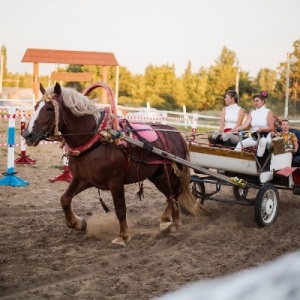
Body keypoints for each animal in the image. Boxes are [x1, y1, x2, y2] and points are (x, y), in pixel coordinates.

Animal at [22, 82, 207, 246]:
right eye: (36, 106)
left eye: (49, 108)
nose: (27, 135)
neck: (96, 139)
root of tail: (176, 133)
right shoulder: (83, 179)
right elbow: (65, 199)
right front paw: (78, 223)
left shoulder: (115, 182)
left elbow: (120, 209)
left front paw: (123, 237)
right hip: (157, 176)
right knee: (171, 196)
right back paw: (165, 221)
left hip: (170, 173)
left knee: (175, 195)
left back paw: (175, 224)